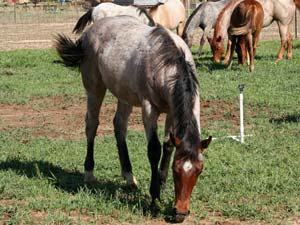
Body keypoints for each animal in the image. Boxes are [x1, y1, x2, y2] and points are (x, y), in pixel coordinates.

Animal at [55, 16, 212, 223]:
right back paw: (89, 173)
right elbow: (154, 149)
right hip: (95, 89)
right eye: (177, 170)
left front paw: (161, 182)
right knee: (92, 125)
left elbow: (168, 145)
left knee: (119, 126)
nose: (180, 213)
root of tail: (90, 31)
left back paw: (129, 176)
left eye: (199, 170)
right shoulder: (149, 108)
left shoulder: (171, 110)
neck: (166, 63)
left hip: (124, 96)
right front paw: (154, 197)